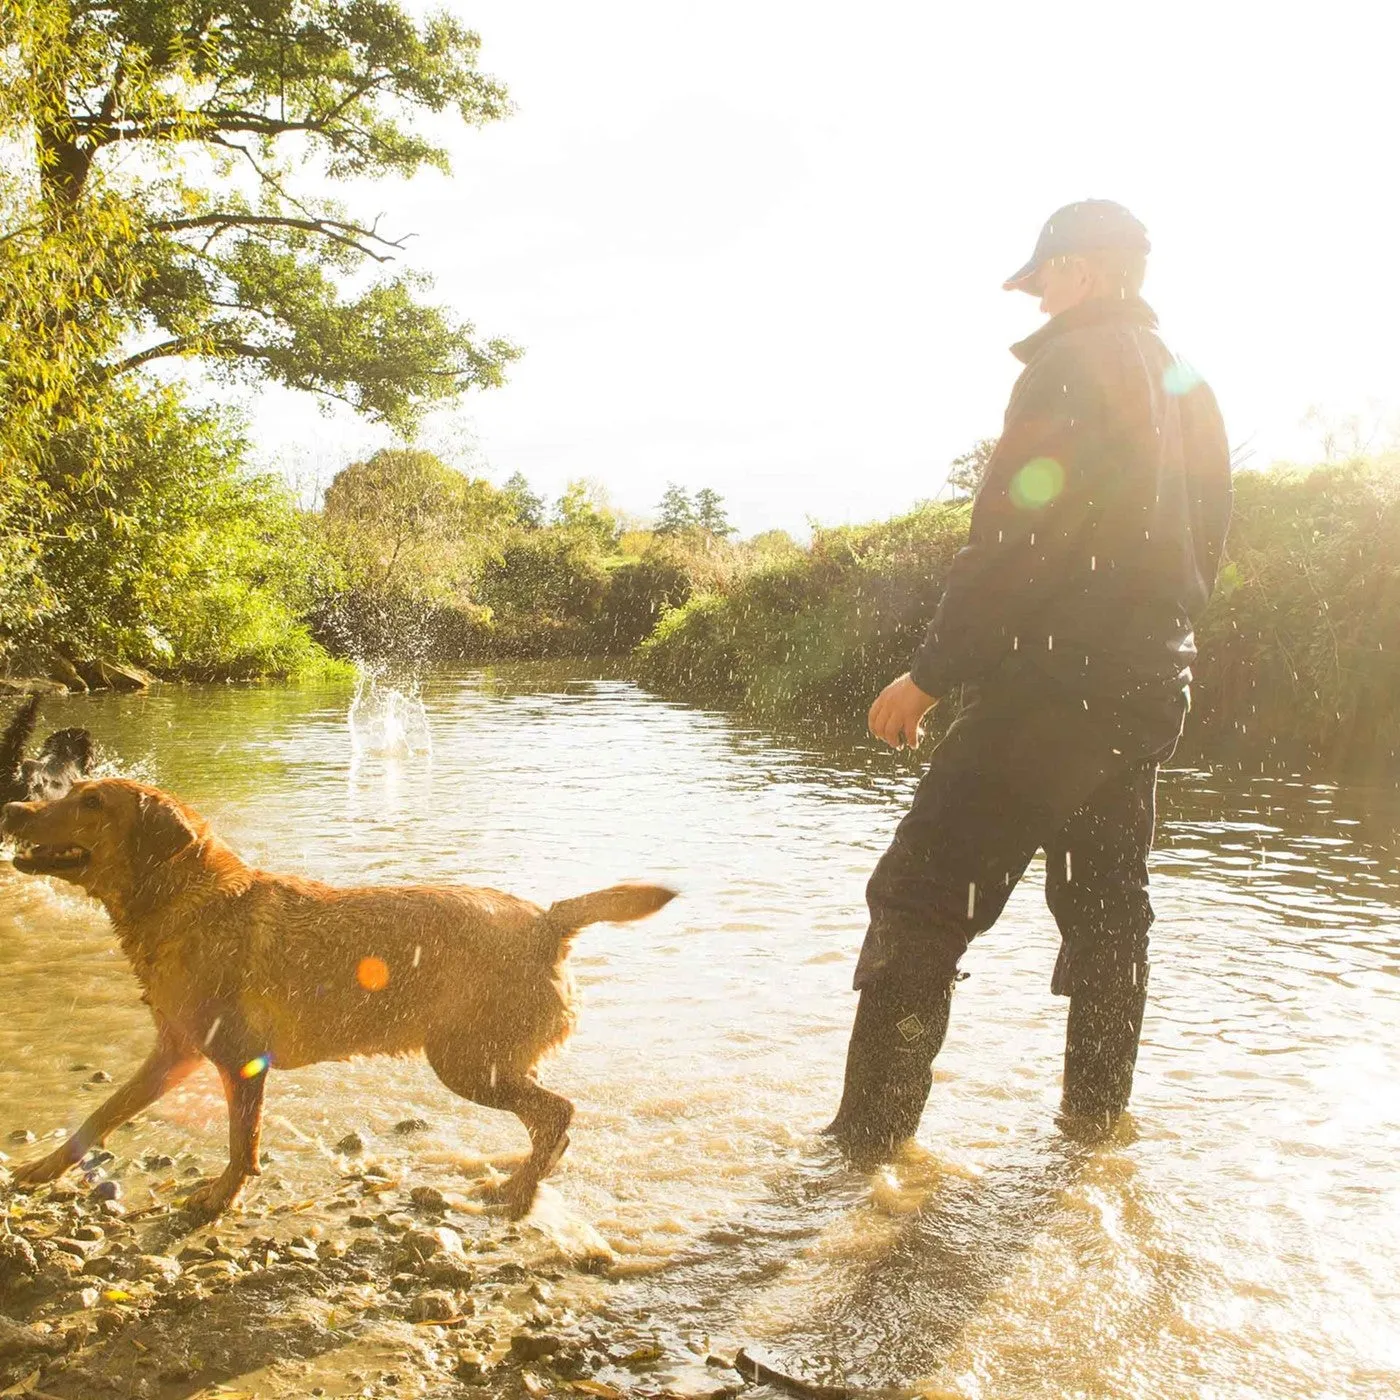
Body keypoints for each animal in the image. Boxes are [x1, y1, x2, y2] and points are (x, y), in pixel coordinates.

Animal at [0, 784, 674, 1220]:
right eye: (71, 790)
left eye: (91, 803)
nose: (12, 808)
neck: (184, 901)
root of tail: (548, 920)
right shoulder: (174, 1052)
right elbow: (101, 1113)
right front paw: (42, 1168)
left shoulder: (238, 1061)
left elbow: (241, 1143)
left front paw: (221, 1198)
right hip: (485, 1060)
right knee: (549, 1121)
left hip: (466, 1063)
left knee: (557, 1112)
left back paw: (514, 1192)